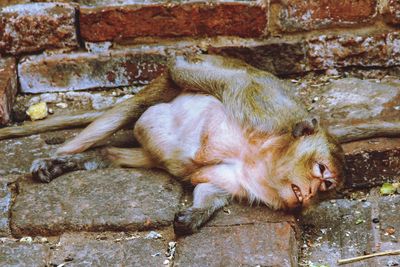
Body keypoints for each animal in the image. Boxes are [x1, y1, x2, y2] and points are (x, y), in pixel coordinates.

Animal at [26, 54, 346, 234]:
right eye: (321, 171)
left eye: (326, 187)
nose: (312, 193)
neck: (262, 157)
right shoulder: (260, 109)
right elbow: (195, 73)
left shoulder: (246, 179)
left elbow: (210, 188)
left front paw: (194, 216)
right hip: (159, 91)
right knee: (131, 109)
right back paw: (61, 155)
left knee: (119, 154)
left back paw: (85, 159)